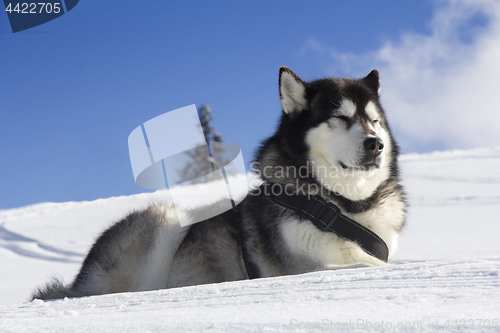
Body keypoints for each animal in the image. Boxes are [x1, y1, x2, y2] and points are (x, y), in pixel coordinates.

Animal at [31, 66, 406, 300]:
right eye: (340, 117)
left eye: (374, 120)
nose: (375, 144)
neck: (339, 205)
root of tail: (79, 281)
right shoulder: (302, 267)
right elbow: (365, 265)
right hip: (164, 218)